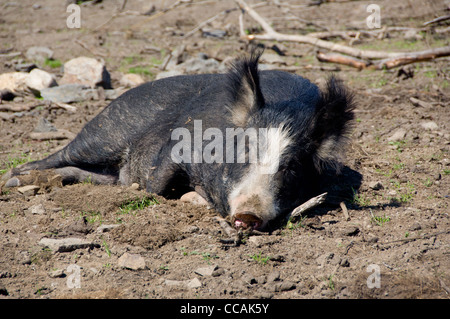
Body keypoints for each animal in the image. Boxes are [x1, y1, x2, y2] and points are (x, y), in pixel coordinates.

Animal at [5, 50, 354, 230]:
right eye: (243, 153)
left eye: (291, 167)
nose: (248, 214)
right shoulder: (176, 148)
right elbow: (155, 185)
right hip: (104, 132)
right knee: (59, 156)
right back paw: (15, 179)